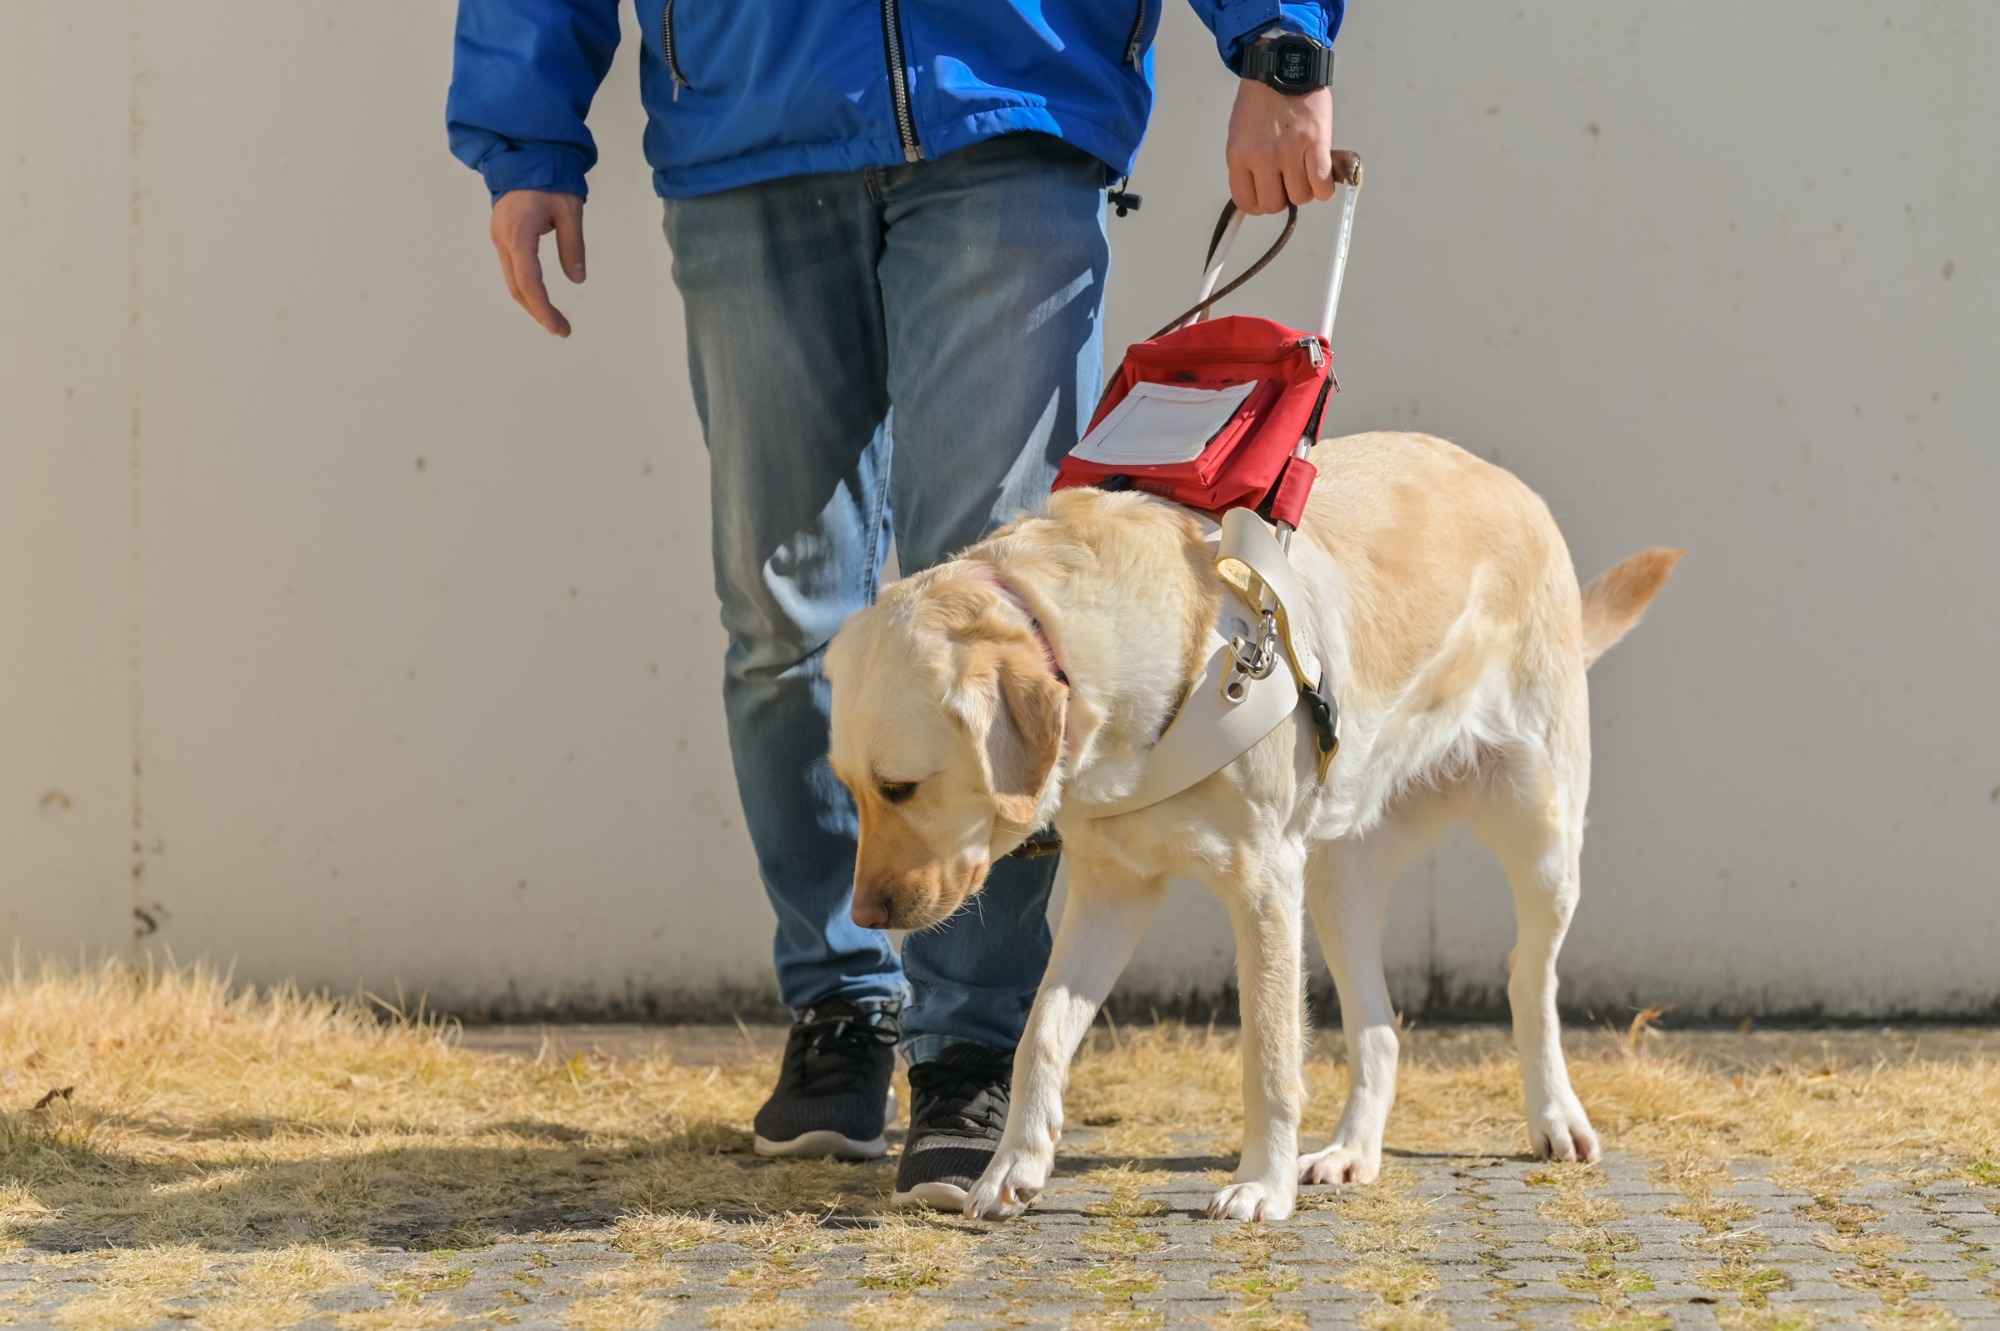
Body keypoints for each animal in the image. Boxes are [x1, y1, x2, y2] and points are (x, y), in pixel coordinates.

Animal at [820, 429, 1680, 1215]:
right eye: (850, 788)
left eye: (901, 786)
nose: (864, 913)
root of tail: (1505, 480)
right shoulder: (1114, 889)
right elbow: (1042, 1031)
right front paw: (1013, 1165)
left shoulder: (1264, 883)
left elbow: (1268, 1054)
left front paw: (1262, 1184)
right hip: (1338, 880)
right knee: (1380, 1028)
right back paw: (1352, 1151)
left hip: (1542, 839)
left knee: (1529, 980)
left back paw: (1555, 1116)